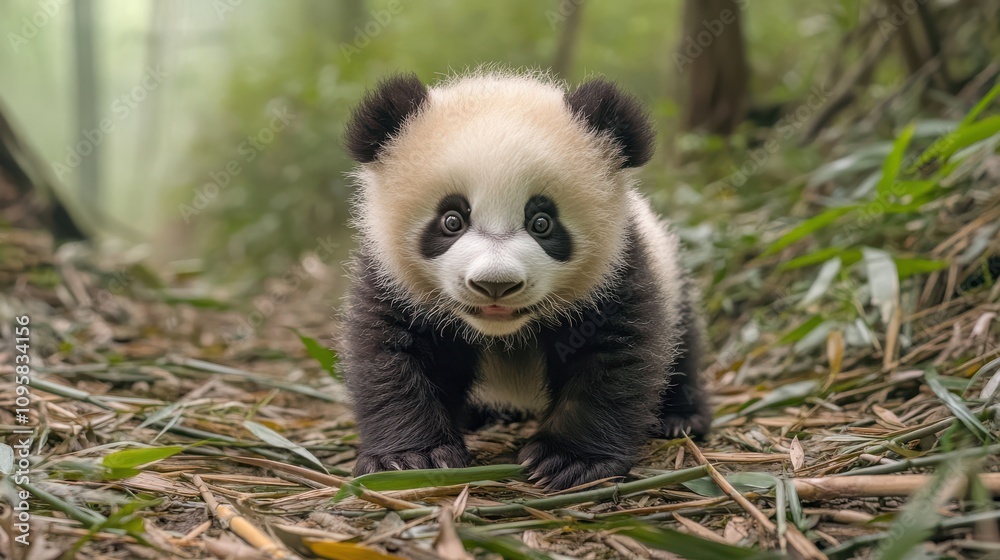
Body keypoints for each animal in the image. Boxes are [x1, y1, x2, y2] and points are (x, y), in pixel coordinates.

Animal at [341, 69, 711, 491]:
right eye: (452, 220)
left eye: (542, 222)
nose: (495, 285)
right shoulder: (391, 278)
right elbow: (390, 356)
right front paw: (412, 458)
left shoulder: (616, 271)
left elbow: (615, 357)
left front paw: (567, 460)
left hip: (672, 275)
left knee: (682, 348)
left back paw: (680, 418)